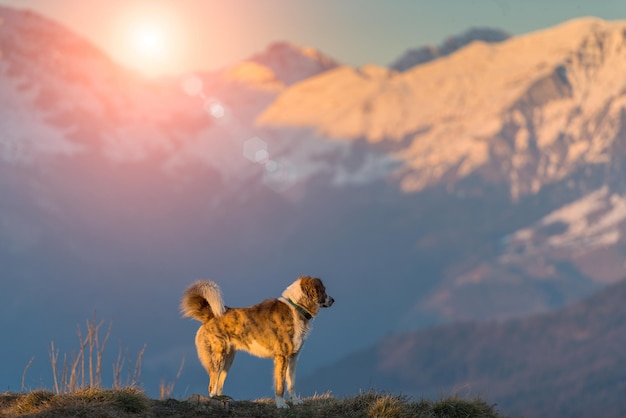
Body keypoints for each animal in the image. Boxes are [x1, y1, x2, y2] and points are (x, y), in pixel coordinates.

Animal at [179, 276, 332, 406]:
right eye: (323, 290)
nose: (333, 300)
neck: (296, 307)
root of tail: (211, 315)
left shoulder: (293, 357)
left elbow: (291, 383)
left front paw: (295, 401)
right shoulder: (281, 357)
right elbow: (280, 385)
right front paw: (281, 405)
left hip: (228, 360)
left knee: (218, 384)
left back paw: (222, 398)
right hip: (217, 358)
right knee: (212, 386)